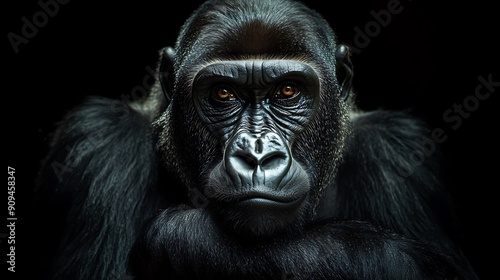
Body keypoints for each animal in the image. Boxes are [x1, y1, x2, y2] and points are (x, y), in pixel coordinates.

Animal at [30, 0, 476, 278]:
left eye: (287, 91)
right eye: (223, 94)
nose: (258, 155)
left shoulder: (398, 151)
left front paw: (182, 234)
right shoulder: (100, 143)